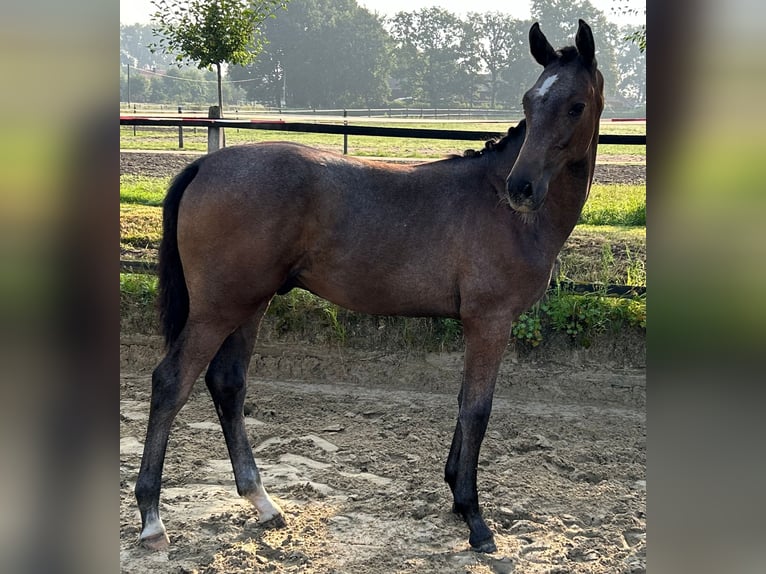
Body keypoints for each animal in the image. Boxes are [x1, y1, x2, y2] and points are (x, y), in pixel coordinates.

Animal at [136, 20, 608, 556]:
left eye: (575, 105)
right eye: (530, 101)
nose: (521, 189)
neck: (503, 212)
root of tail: (204, 165)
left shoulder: (476, 325)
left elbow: (463, 403)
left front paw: (455, 496)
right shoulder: (490, 322)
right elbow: (478, 410)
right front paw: (475, 519)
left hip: (250, 304)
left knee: (227, 384)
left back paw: (263, 502)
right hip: (218, 309)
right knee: (171, 383)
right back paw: (152, 520)